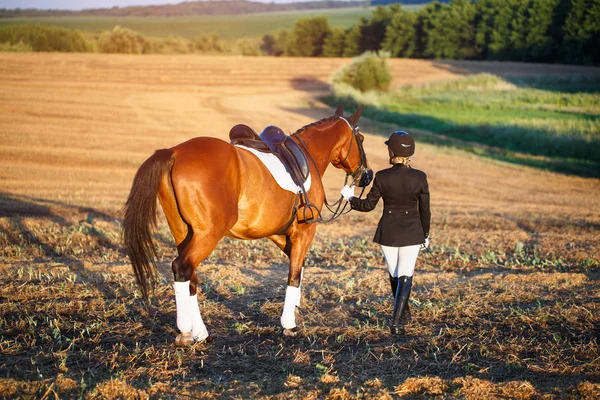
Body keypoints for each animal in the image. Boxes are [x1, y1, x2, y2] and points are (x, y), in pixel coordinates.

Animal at [122, 104, 370, 346]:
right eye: (361, 138)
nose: (367, 175)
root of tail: (174, 152)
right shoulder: (304, 232)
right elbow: (294, 274)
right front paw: (289, 324)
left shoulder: (279, 234)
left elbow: (298, 268)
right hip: (208, 234)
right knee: (182, 268)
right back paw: (185, 332)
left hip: (183, 233)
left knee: (190, 275)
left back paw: (200, 332)